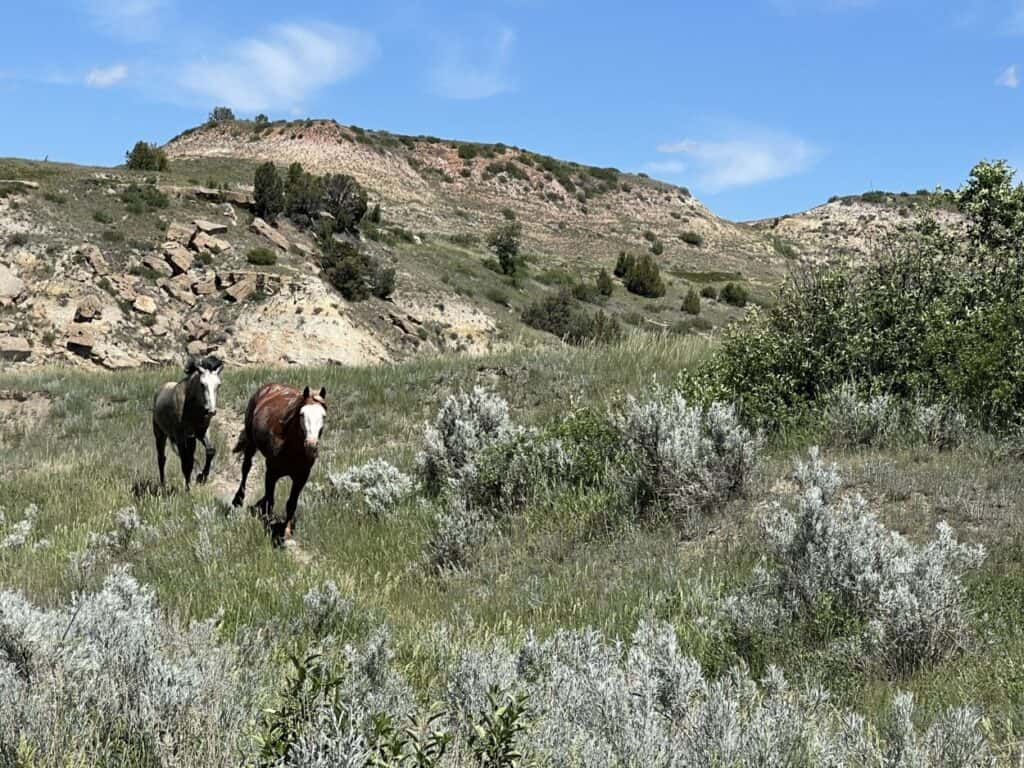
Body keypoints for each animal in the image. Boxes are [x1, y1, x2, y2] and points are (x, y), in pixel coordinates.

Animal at [152, 356, 224, 489]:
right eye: (202, 384)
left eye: (218, 385)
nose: (211, 411)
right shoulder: (180, 436)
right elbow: (186, 462)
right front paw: (188, 488)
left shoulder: (201, 433)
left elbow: (210, 451)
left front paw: (201, 477)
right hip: (160, 434)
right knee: (162, 458)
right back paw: (163, 485)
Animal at [231, 384, 327, 546]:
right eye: (302, 414)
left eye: (324, 416)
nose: (311, 446)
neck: (291, 448)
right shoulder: (271, 472)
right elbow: (271, 500)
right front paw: (266, 524)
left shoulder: (301, 477)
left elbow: (291, 504)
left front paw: (286, 531)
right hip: (251, 443)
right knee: (246, 468)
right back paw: (238, 499)